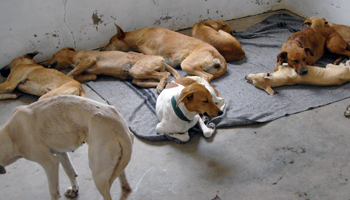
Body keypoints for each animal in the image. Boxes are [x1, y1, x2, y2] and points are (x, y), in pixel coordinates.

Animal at [0, 95, 134, 200]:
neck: (10, 134)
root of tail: (121, 129)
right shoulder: (61, 152)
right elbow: (70, 171)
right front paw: (74, 189)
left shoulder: (50, 163)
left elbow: (53, 192)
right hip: (116, 165)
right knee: (125, 187)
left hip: (98, 173)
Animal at [44, 47, 180, 93]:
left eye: (53, 55)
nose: (45, 64)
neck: (73, 57)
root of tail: (160, 58)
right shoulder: (91, 74)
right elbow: (78, 73)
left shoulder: (89, 58)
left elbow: (72, 72)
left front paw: (68, 74)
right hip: (138, 78)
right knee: (161, 78)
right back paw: (164, 85)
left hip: (138, 69)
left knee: (165, 74)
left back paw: (161, 85)